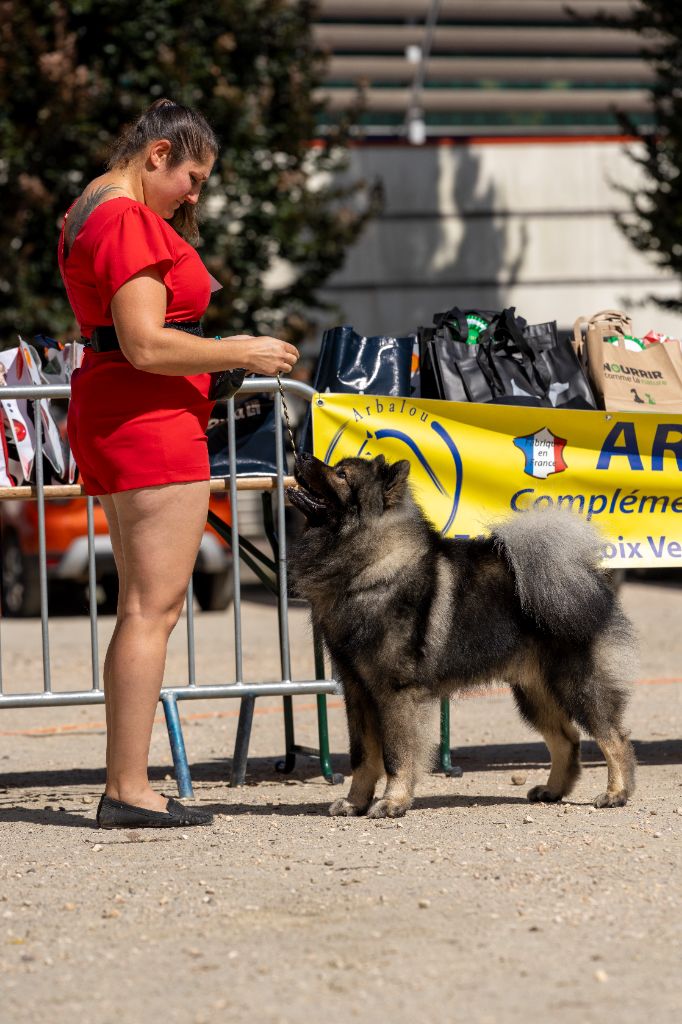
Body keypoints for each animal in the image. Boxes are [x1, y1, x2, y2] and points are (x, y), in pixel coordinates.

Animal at [288, 452, 638, 819]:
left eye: (341, 474)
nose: (301, 455)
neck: (373, 567)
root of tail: (588, 577)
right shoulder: (357, 691)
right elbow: (363, 757)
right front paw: (355, 802)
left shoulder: (395, 693)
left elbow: (396, 756)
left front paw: (392, 802)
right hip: (534, 692)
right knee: (566, 740)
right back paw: (552, 790)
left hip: (575, 685)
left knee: (613, 738)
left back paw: (616, 794)